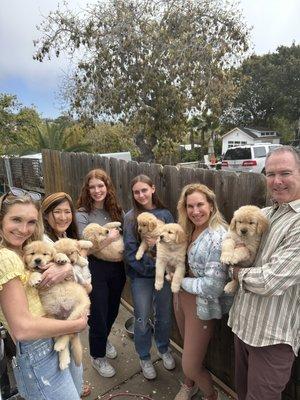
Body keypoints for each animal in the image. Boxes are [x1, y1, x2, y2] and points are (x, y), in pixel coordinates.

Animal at [23, 239, 90, 370]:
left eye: (45, 254)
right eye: (32, 253)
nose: (37, 260)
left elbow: (57, 255)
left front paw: (61, 258)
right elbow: (31, 272)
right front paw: (33, 278)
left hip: (77, 311)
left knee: (68, 332)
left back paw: (61, 349)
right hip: (53, 321)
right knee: (65, 334)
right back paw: (63, 357)